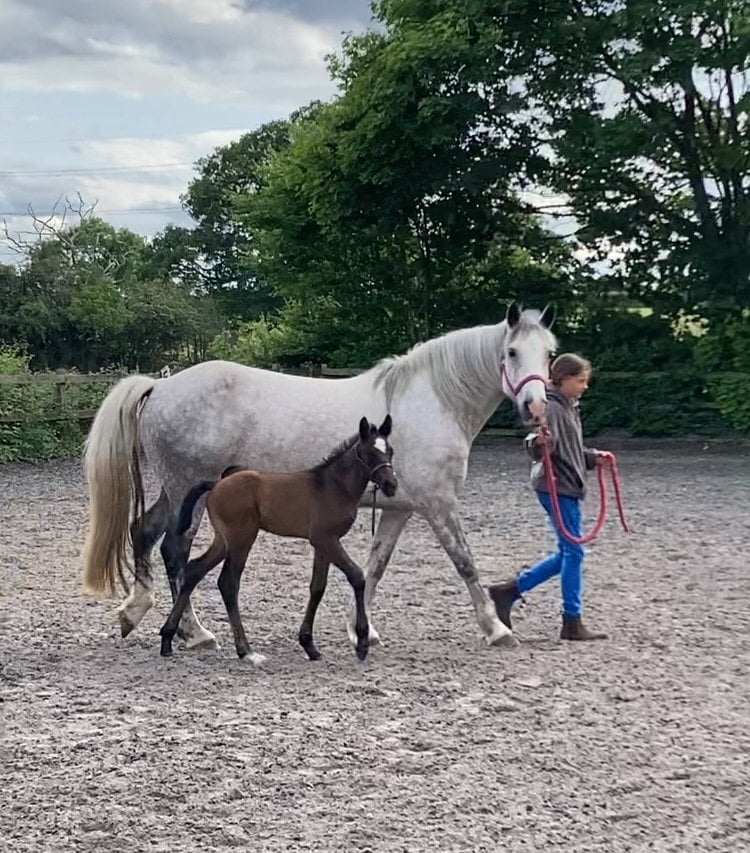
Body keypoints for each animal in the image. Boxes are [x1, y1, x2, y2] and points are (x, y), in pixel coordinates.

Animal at [158, 416, 397, 663]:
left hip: (224, 540)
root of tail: (217, 483)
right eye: (370, 453)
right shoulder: (326, 539)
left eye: (390, 451)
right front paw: (362, 643)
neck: (332, 486)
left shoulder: (323, 544)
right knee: (228, 583)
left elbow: (317, 587)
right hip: (242, 538)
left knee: (195, 570)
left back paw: (167, 639)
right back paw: (245, 650)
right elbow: (357, 576)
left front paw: (309, 646)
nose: (391, 485)